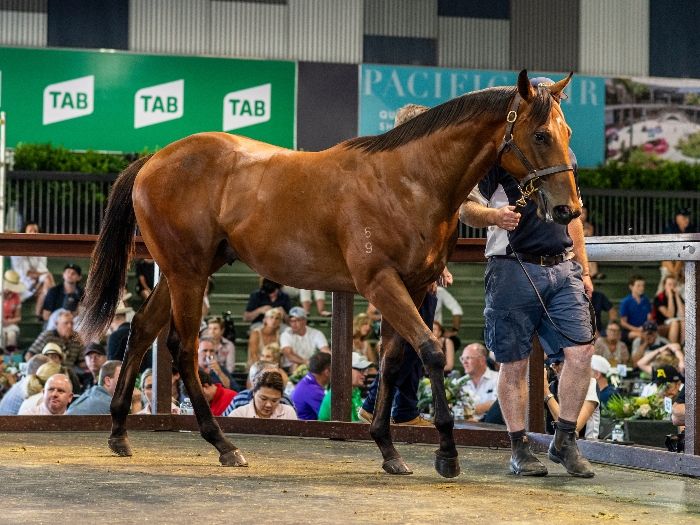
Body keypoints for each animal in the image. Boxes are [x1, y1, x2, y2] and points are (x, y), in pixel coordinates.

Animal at [81, 70, 579, 478]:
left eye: (568, 132)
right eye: (540, 134)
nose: (567, 209)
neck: (409, 182)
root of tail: (151, 161)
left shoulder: (413, 287)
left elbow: (392, 362)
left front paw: (388, 450)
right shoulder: (380, 283)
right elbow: (431, 351)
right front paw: (446, 453)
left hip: (181, 272)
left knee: (142, 330)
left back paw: (120, 432)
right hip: (188, 274)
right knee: (182, 348)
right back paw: (223, 445)